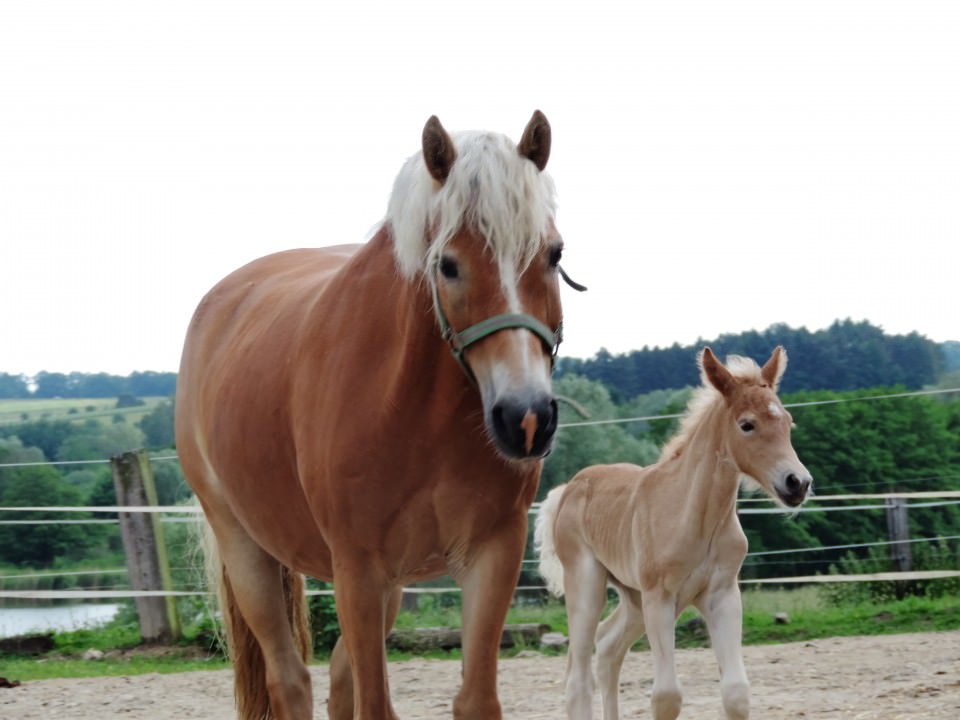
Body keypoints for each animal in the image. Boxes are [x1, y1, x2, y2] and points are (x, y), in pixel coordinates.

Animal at [174, 108, 576, 720]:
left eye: (553, 254)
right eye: (448, 265)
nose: (525, 418)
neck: (412, 410)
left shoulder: (491, 554)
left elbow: (475, 699)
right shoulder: (357, 568)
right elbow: (374, 702)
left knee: (339, 678)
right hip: (247, 550)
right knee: (290, 680)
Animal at [536, 348, 812, 720]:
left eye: (788, 422)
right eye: (747, 424)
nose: (797, 483)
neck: (696, 518)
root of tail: (570, 487)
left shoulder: (722, 594)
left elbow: (736, 693)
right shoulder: (660, 597)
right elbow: (666, 696)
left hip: (633, 598)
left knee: (608, 646)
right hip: (587, 586)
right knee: (578, 679)